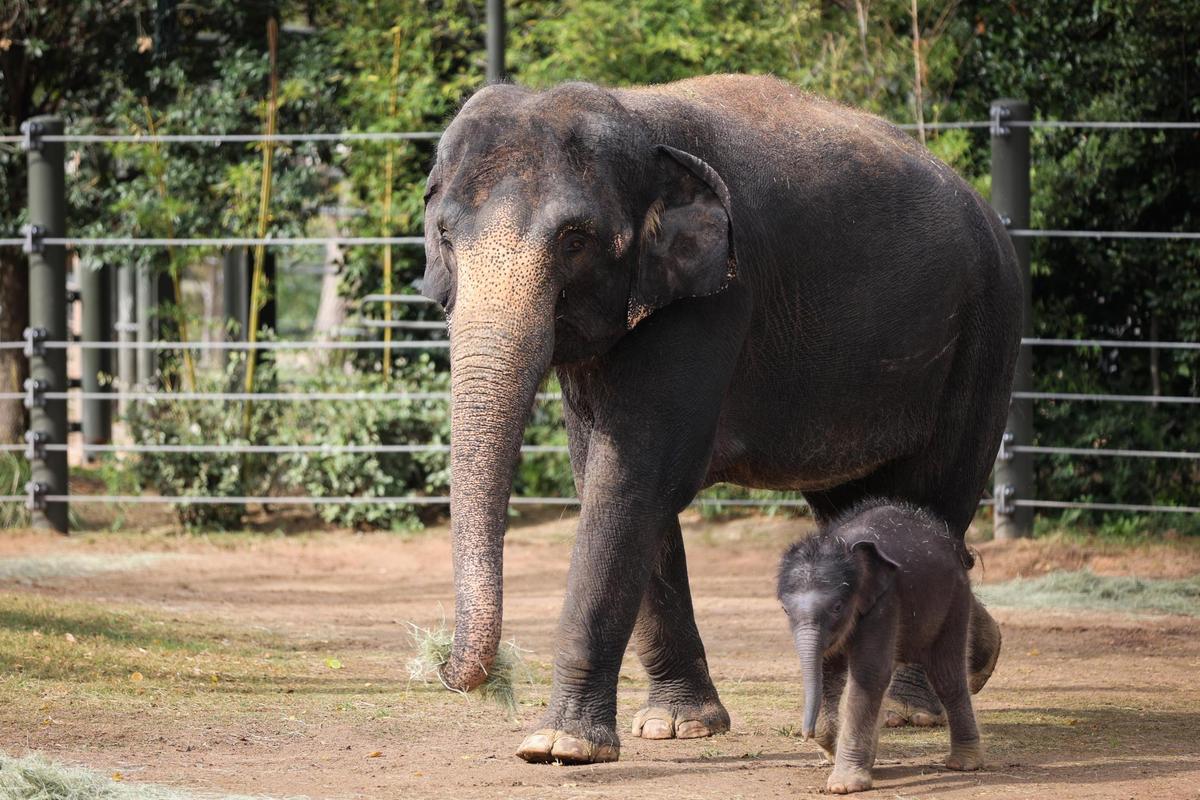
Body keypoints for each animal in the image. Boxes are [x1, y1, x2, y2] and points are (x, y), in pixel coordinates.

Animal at [777, 500, 987, 794]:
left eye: (837, 607)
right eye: (785, 610)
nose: (805, 734)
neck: (843, 545)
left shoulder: (885, 603)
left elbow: (869, 674)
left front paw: (844, 786)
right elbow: (828, 673)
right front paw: (835, 752)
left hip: (955, 600)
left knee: (947, 675)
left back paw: (964, 764)